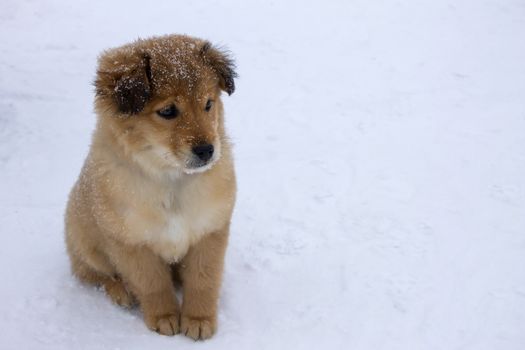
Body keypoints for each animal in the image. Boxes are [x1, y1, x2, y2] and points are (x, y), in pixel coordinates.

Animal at [64, 34, 237, 340]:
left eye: (208, 104)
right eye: (167, 111)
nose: (207, 150)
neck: (171, 181)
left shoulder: (210, 232)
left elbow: (203, 280)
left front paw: (199, 319)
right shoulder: (131, 243)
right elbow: (152, 284)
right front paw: (165, 316)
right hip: (85, 242)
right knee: (95, 274)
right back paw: (120, 291)